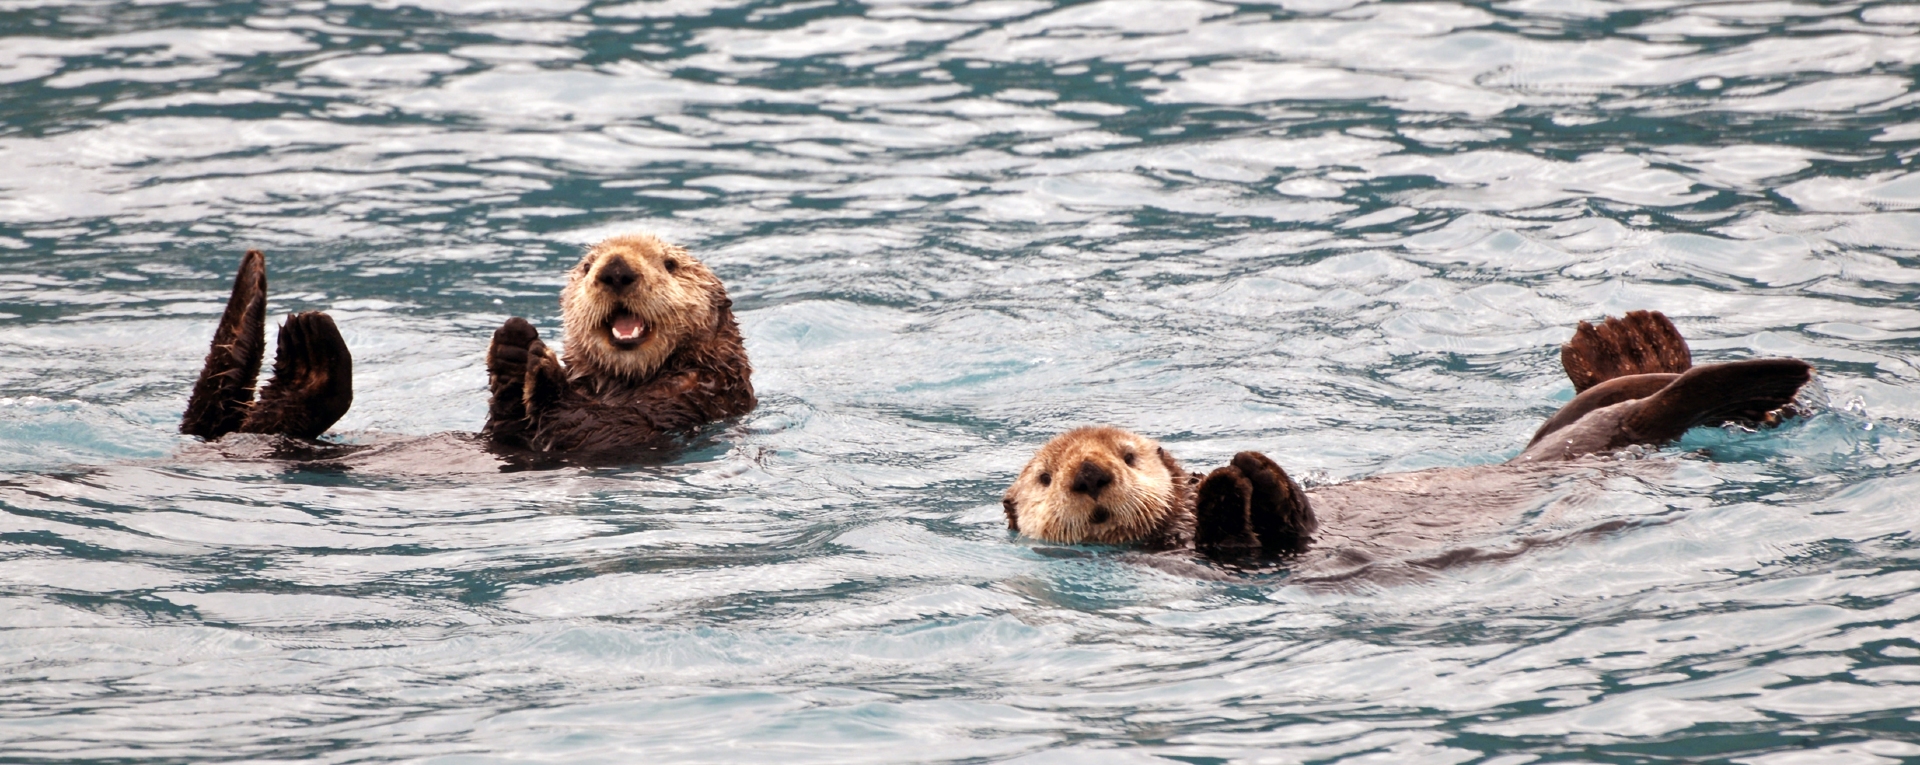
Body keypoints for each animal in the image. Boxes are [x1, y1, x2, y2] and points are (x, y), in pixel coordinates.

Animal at [178, 234, 754, 458]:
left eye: (670, 265)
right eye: (589, 266)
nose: (615, 269)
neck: (617, 386)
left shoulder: (689, 399)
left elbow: (584, 427)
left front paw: (542, 369)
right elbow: (507, 421)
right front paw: (514, 348)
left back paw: (309, 351)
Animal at [1001, 312, 1813, 577]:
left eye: (1129, 455)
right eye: (1046, 478)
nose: (1090, 473)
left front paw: (1246, 470)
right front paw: (1240, 482)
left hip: (1578, 424)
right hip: (1603, 430)